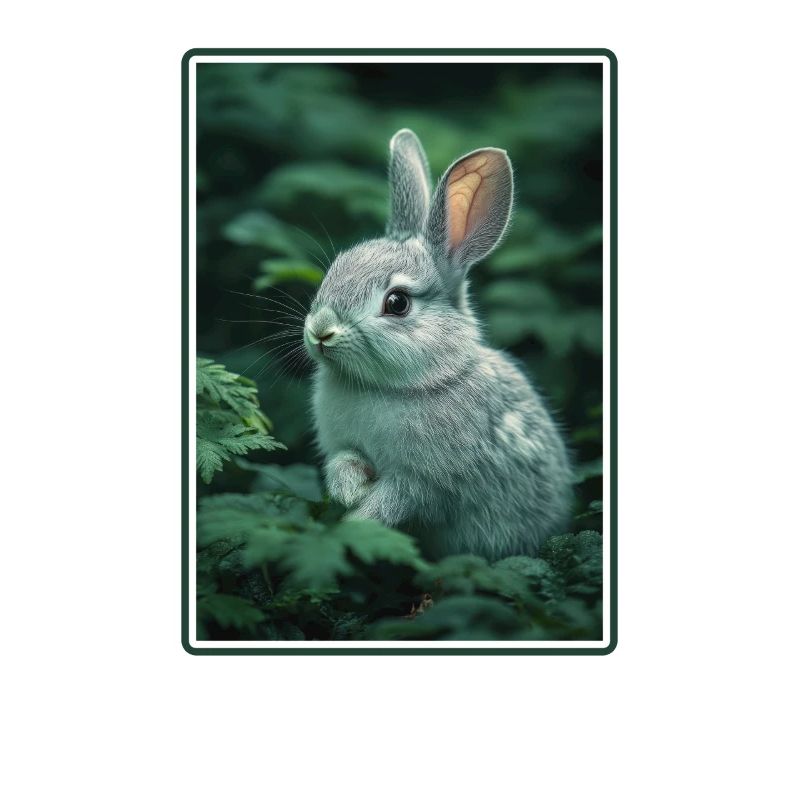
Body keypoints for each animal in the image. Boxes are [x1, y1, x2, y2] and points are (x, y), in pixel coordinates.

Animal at [303, 129, 573, 560]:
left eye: (397, 303)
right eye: (336, 268)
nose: (321, 331)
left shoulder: (425, 483)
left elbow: (396, 501)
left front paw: (355, 523)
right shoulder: (343, 448)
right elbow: (343, 463)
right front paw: (351, 491)